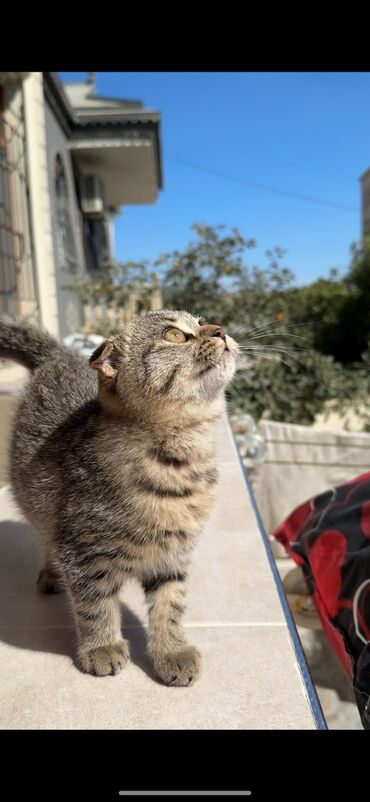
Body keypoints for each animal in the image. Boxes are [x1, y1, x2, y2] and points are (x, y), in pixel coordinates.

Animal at [0, 310, 237, 684]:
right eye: (173, 334)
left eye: (202, 323)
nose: (220, 330)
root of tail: (60, 352)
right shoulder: (81, 551)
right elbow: (95, 605)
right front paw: (102, 647)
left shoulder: (173, 556)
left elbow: (170, 605)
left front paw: (171, 652)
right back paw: (52, 575)